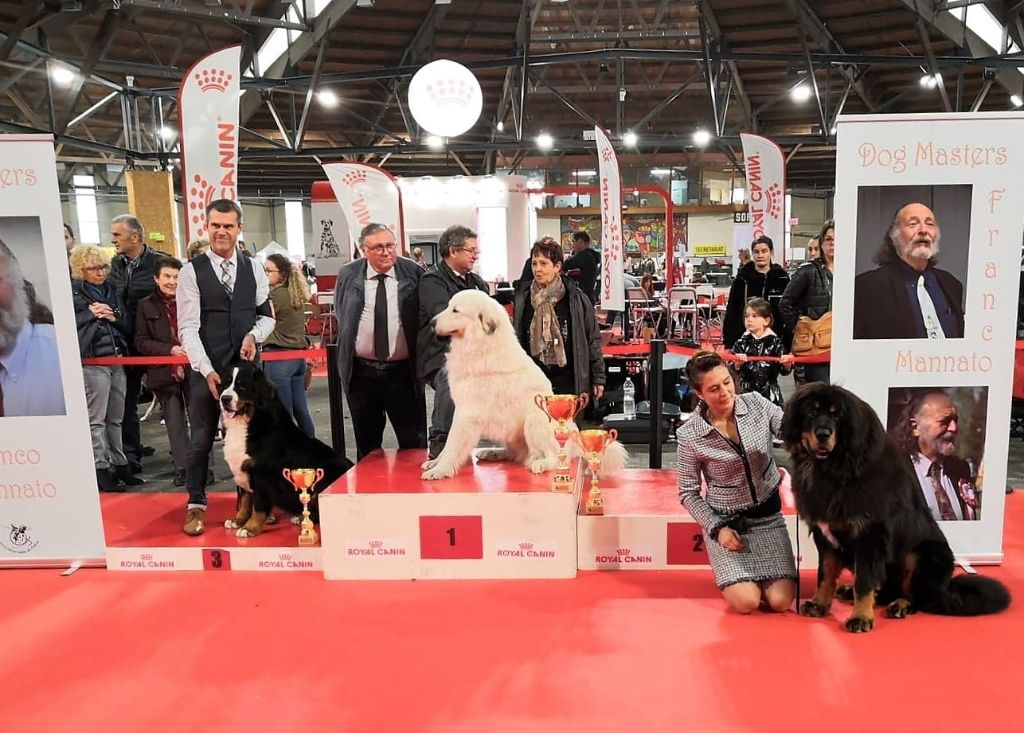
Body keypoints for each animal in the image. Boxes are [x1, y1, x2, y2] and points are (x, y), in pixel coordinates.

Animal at [217, 360, 352, 536]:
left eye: (242, 386)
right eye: (225, 383)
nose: (224, 398)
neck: (248, 422)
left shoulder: (262, 475)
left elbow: (258, 506)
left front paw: (249, 528)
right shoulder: (244, 469)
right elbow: (245, 500)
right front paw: (238, 520)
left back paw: (301, 519)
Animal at [419, 288, 626, 483]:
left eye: (455, 310)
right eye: (448, 306)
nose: (431, 323)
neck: (481, 344)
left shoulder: (467, 414)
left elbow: (452, 444)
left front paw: (440, 470)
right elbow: (447, 446)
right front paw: (435, 463)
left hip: (535, 421)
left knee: (558, 456)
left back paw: (540, 463)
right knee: (515, 454)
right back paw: (492, 453)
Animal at [782, 382, 1007, 630]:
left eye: (837, 416)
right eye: (811, 413)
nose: (823, 434)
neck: (837, 469)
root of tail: (945, 590)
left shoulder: (870, 535)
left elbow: (864, 582)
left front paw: (861, 617)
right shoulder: (825, 534)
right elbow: (826, 574)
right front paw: (819, 604)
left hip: (921, 554)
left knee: (917, 597)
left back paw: (900, 605)